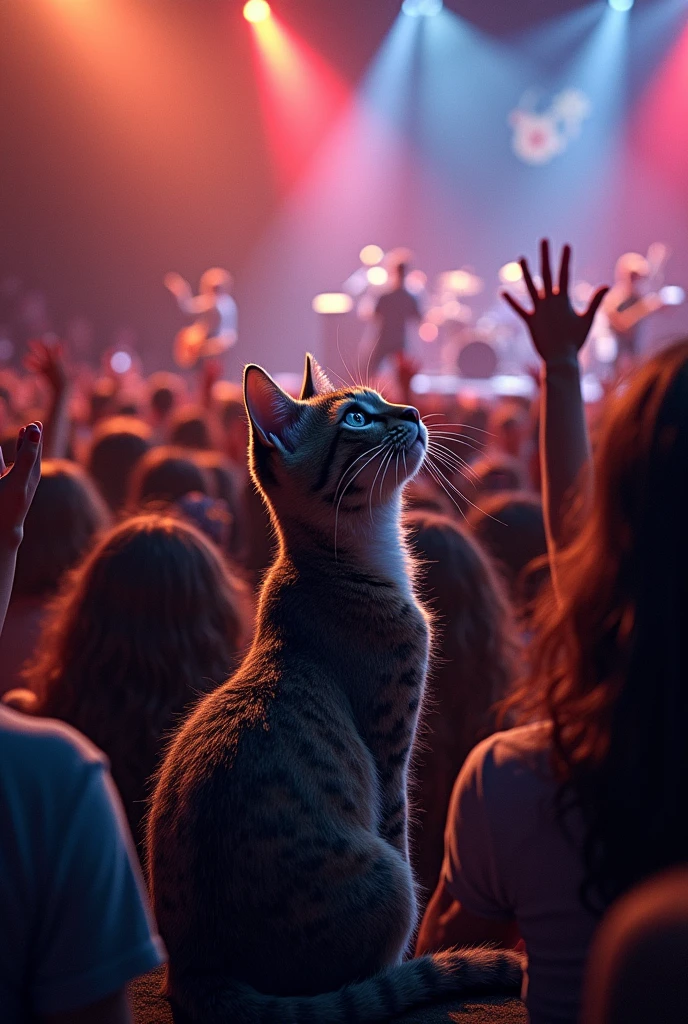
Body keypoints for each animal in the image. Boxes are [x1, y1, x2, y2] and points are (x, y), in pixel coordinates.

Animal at [146, 356, 522, 1019]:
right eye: (356, 418)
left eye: (380, 399)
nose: (413, 410)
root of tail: (196, 973)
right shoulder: (392, 756)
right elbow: (400, 832)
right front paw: (409, 970)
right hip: (392, 884)